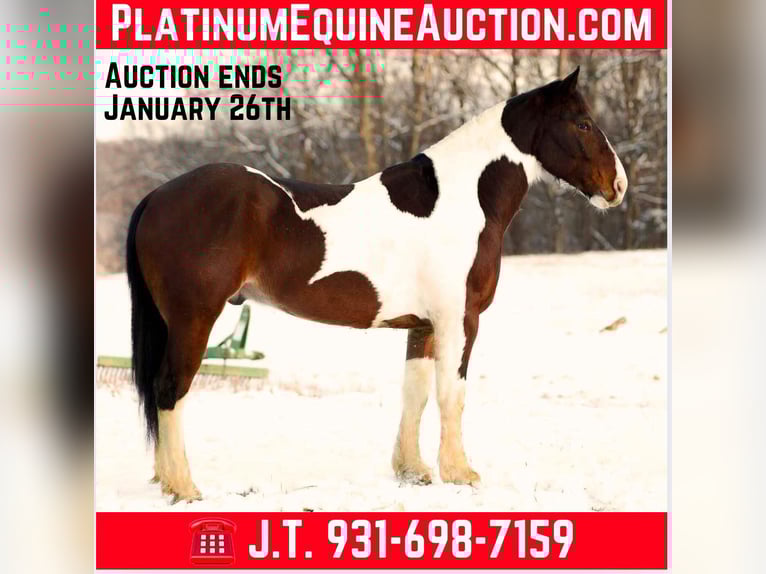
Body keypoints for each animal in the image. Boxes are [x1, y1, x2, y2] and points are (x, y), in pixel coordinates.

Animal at [126, 67, 628, 502]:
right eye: (583, 123)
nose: (618, 186)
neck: (461, 200)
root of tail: (157, 196)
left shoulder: (423, 325)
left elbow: (415, 392)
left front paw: (414, 471)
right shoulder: (459, 320)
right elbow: (452, 393)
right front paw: (460, 473)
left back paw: (166, 480)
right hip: (194, 318)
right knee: (171, 388)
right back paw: (184, 488)